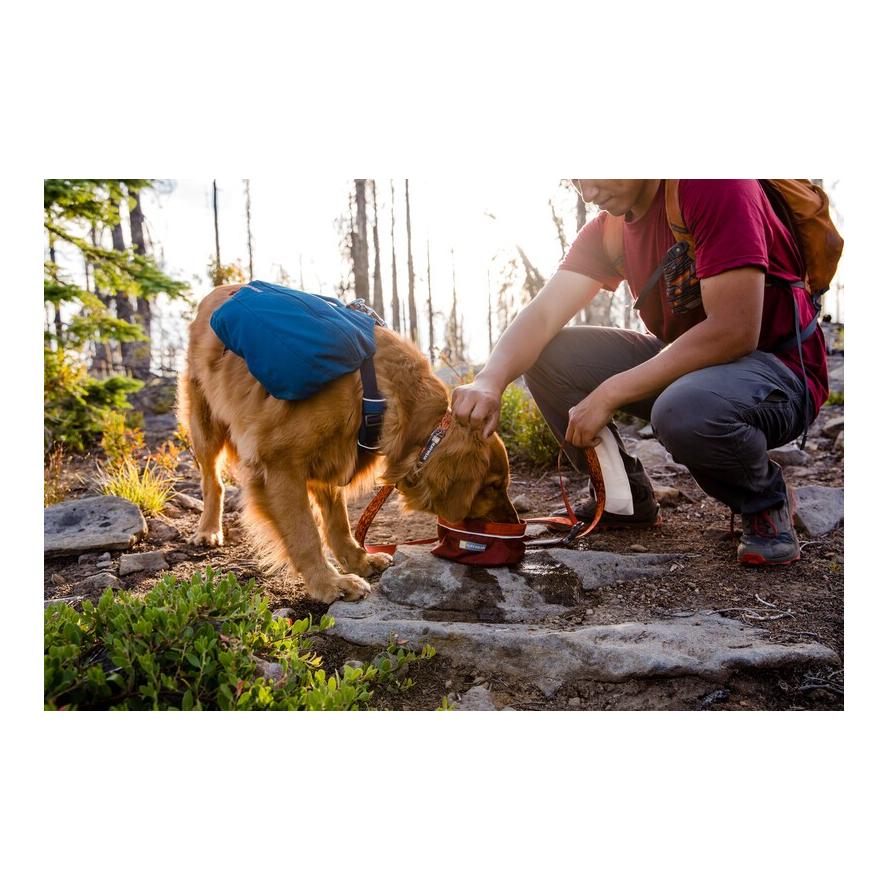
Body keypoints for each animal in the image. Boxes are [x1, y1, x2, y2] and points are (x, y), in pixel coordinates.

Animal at [177, 284, 516, 604]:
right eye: (492, 486)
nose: (514, 523)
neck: (376, 395)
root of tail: (216, 293)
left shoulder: (333, 456)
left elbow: (338, 522)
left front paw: (358, 561)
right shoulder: (279, 465)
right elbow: (305, 534)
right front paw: (329, 583)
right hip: (204, 424)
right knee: (212, 482)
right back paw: (208, 530)